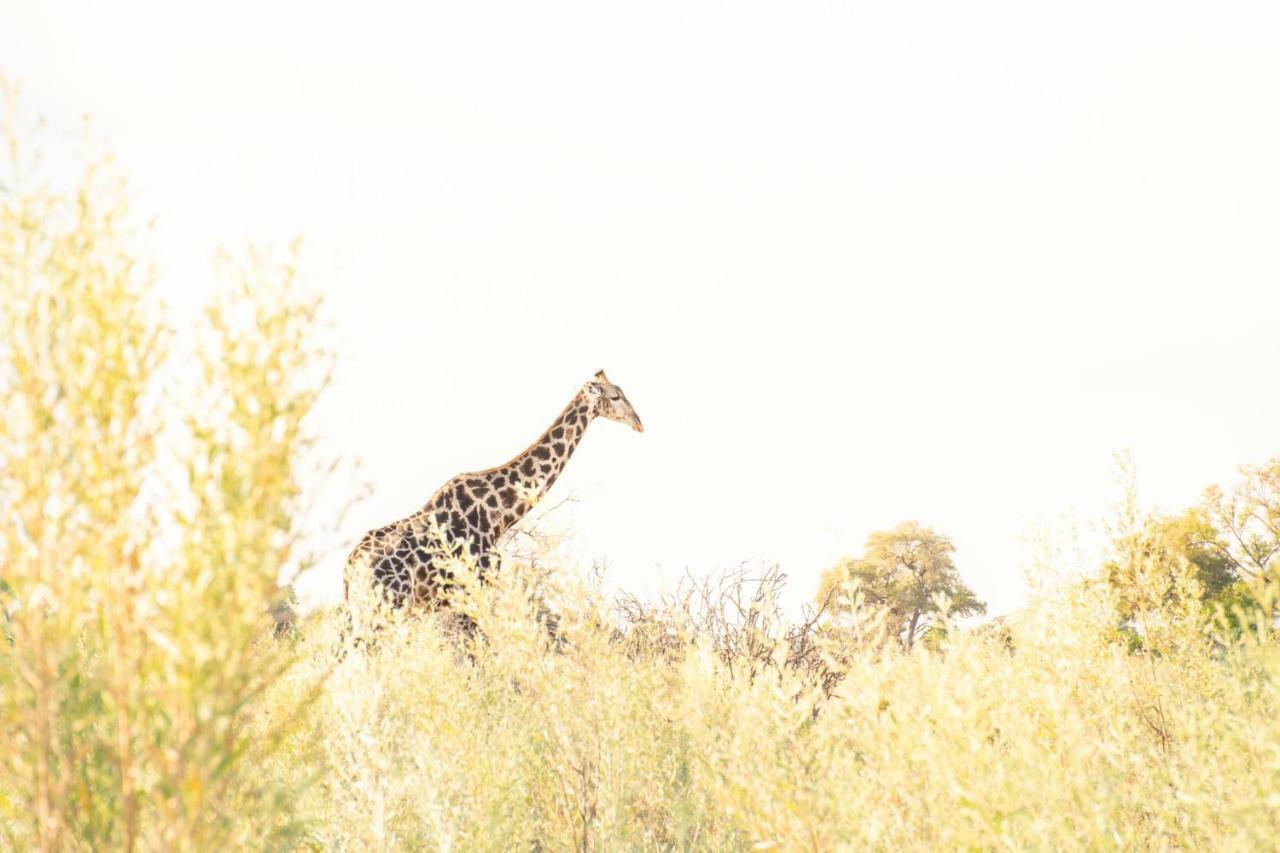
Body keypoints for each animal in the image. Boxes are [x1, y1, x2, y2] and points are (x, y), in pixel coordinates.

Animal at [345, 368, 645, 607]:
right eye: (615, 396)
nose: (639, 423)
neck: (499, 514)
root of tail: (350, 568)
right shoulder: (476, 583)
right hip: (390, 603)